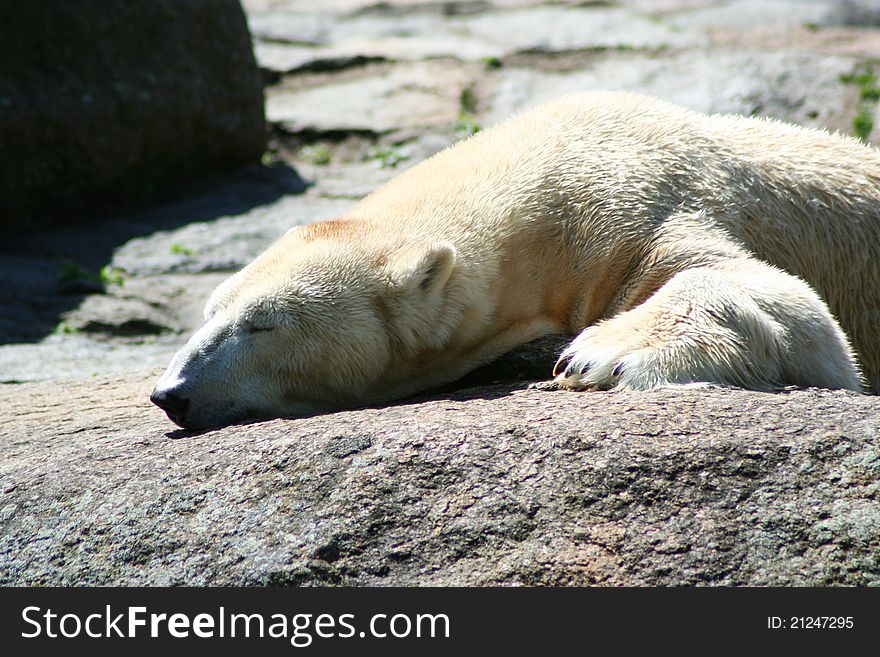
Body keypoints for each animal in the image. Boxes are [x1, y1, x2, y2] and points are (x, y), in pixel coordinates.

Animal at [151, 93, 880, 430]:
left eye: (263, 324)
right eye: (210, 311)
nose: (171, 392)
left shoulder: (648, 208)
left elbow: (791, 308)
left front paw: (598, 354)